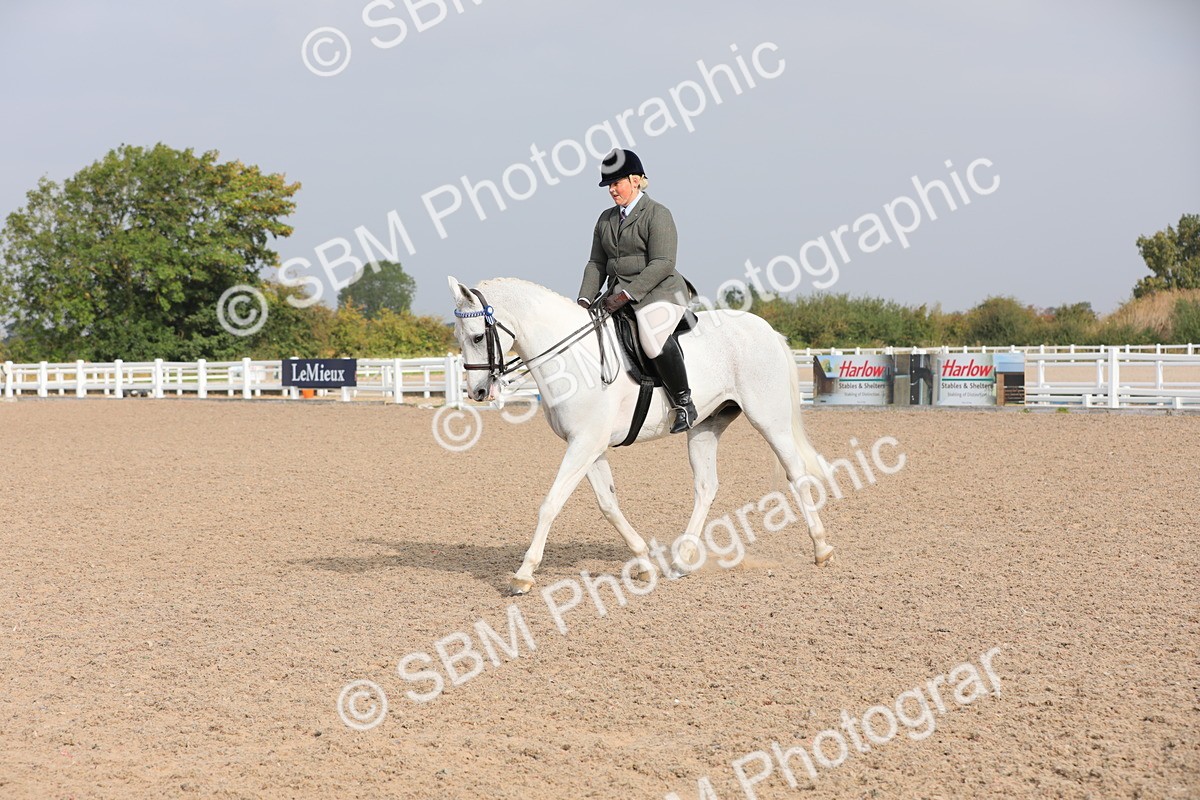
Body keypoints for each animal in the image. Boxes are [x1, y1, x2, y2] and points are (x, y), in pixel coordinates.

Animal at [447, 276, 833, 595]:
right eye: (459, 338)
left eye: (478, 336)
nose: (477, 392)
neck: (572, 357)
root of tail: (765, 329)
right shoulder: (588, 446)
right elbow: (608, 505)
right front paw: (645, 563)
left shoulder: (584, 444)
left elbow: (550, 504)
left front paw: (523, 575)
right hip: (705, 427)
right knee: (706, 487)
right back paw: (681, 560)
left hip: (769, 419)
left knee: (796, 474)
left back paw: (822, 549)